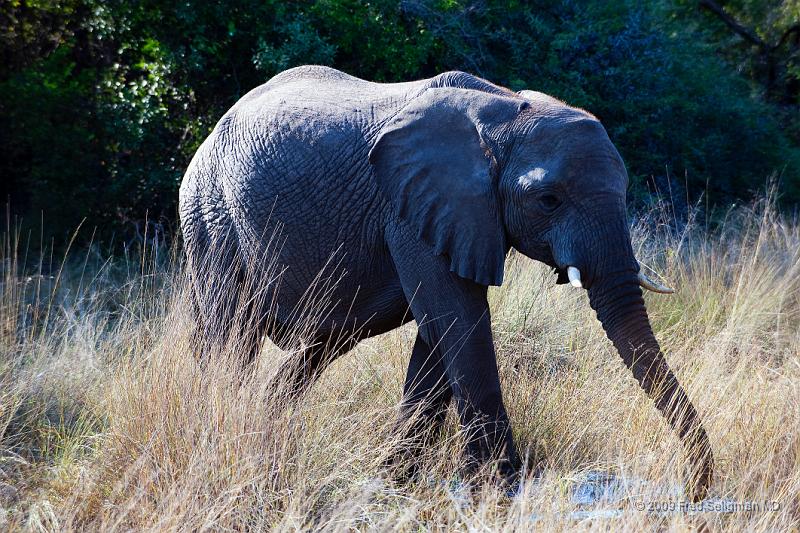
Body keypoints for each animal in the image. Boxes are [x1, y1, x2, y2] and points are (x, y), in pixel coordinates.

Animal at [180, 65, 712, 498]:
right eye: (548, 200)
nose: (692, 490)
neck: (502, 115)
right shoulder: (411, 209)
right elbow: (461, 323)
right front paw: (500, 493)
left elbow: (440, 334)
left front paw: (394, 482)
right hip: (209, 214)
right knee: (228, 338)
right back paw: (221, 429)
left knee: (323, 343)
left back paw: (267, 426)